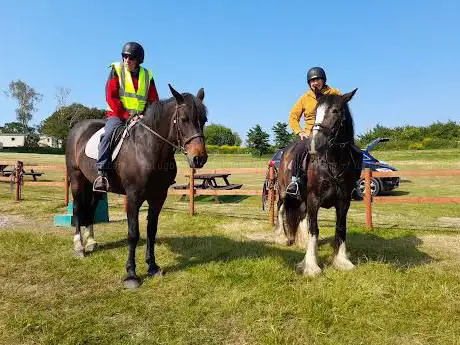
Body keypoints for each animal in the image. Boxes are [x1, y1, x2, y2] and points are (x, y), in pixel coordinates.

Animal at [65, 84, 208, 286]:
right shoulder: (133, 197)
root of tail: (77, 128)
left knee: (90, 209)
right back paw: (79, 247)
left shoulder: (158, 197)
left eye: (204, 120)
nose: (199, 158)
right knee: (78, 209)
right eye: (183, 119)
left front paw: (152, 267)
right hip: (77, 180)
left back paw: (91, 242)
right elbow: (133, 234)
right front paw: (131, 274)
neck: (147, 148)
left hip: (96, 186)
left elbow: (151, 231)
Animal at [276, 90, 362, 276]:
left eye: (336, 110)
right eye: (316, 112)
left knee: (300, 216)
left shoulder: (344, 201)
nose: (315, 144)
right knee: (280, 210)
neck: (334, 162)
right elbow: (314, 229)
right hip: (283, 192)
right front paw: (311, 265)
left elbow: (340, 229)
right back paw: (281, 237)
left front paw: (342, 261)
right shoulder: (314, 199)